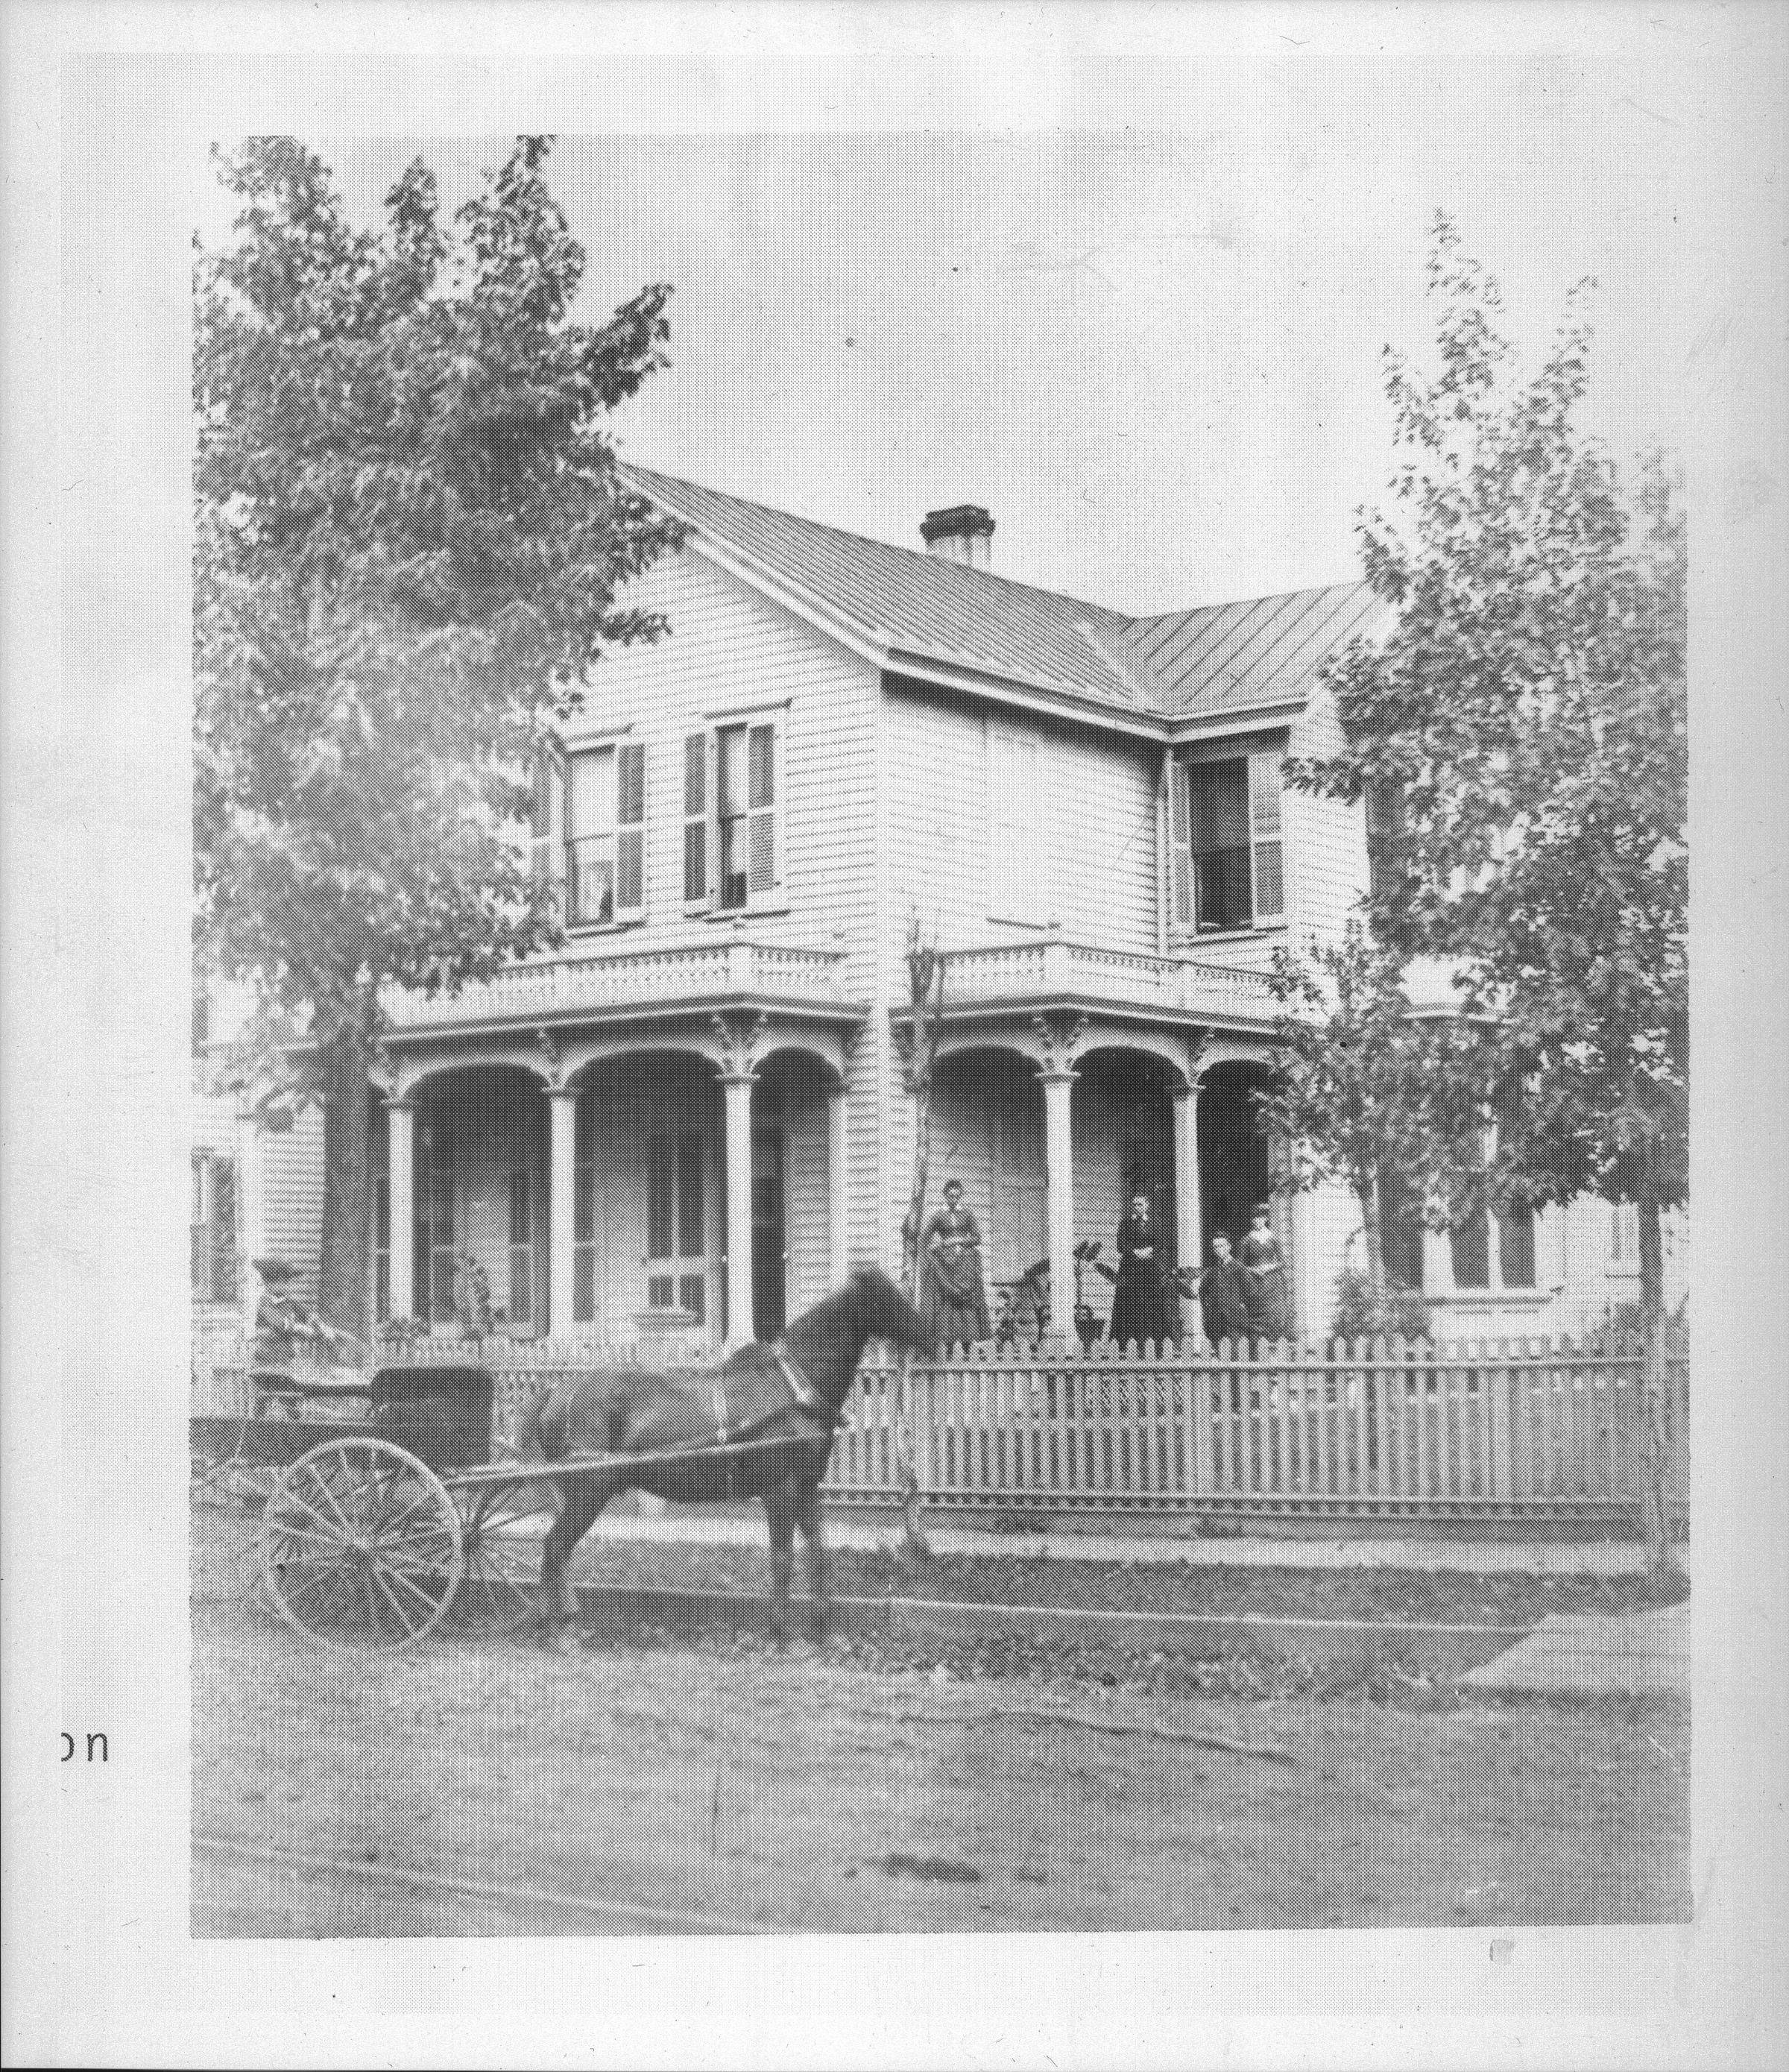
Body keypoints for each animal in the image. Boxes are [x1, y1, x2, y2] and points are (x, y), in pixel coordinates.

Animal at [517, 1268, 927, 1640]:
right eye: (889, 1295)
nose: (931, 1333)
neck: (795, 1389)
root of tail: (556, 1393)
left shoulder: (808, 1488)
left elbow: (817, 1552)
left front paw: (821, 1626)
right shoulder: (779, 1490)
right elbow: (782, 1557)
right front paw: (781, 1631)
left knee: (558, 1550)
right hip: (589, 1491)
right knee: (555, 1547)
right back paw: (558, 1627)